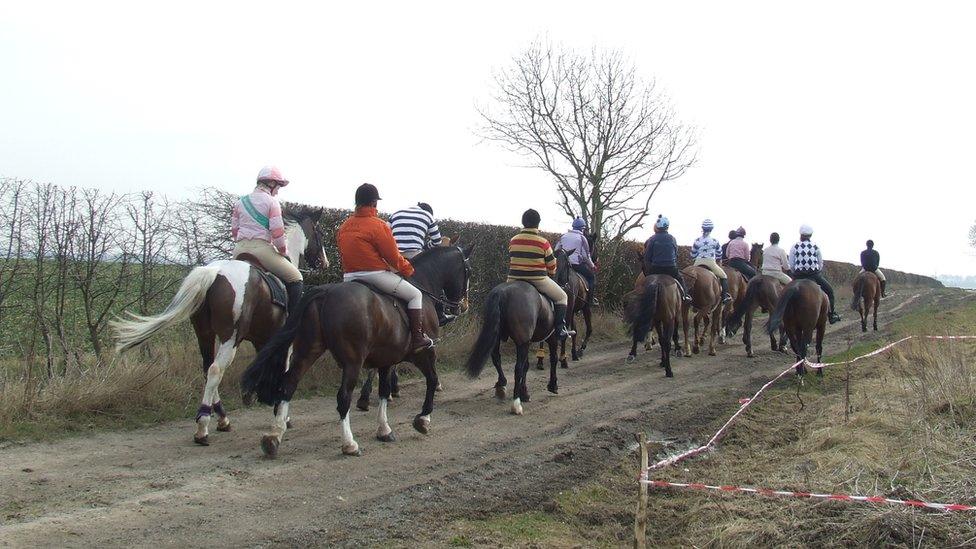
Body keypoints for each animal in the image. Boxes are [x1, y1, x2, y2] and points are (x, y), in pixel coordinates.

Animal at [109, 208, 326, 444]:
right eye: (319, 234)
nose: (324, 262)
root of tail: (214, 273)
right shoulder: (281, 342)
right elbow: (282, 369)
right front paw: (282, 415)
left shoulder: (263, 339)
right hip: (230, 337)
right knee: (215, 370)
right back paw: (203, 426)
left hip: (204, 333)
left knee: (207, 368)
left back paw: (222, 418)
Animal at [242, 243, 474, 454]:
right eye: (468, 271)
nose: (462, 306)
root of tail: (326, 291)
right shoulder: (424, 352)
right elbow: (432, 380)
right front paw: (423, 419)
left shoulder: (386, 360)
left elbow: (384, 391)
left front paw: (384, 430)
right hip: (352, 361)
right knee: (343, 397)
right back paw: (349, 444)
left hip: (308, 350)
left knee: (288, 384)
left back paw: (274, 436)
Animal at [464, 246, 576, 414]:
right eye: (569, 265)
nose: (567, 283)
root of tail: (502, 293)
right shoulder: (550, 338)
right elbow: (552, 359)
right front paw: (552, 385)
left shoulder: (528, 341)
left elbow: (527, 366)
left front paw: (525, 393)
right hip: (522, 341)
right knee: (517, 367)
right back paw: (516, 404)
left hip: (499, 338)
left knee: (497, 359)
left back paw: (501, 385)